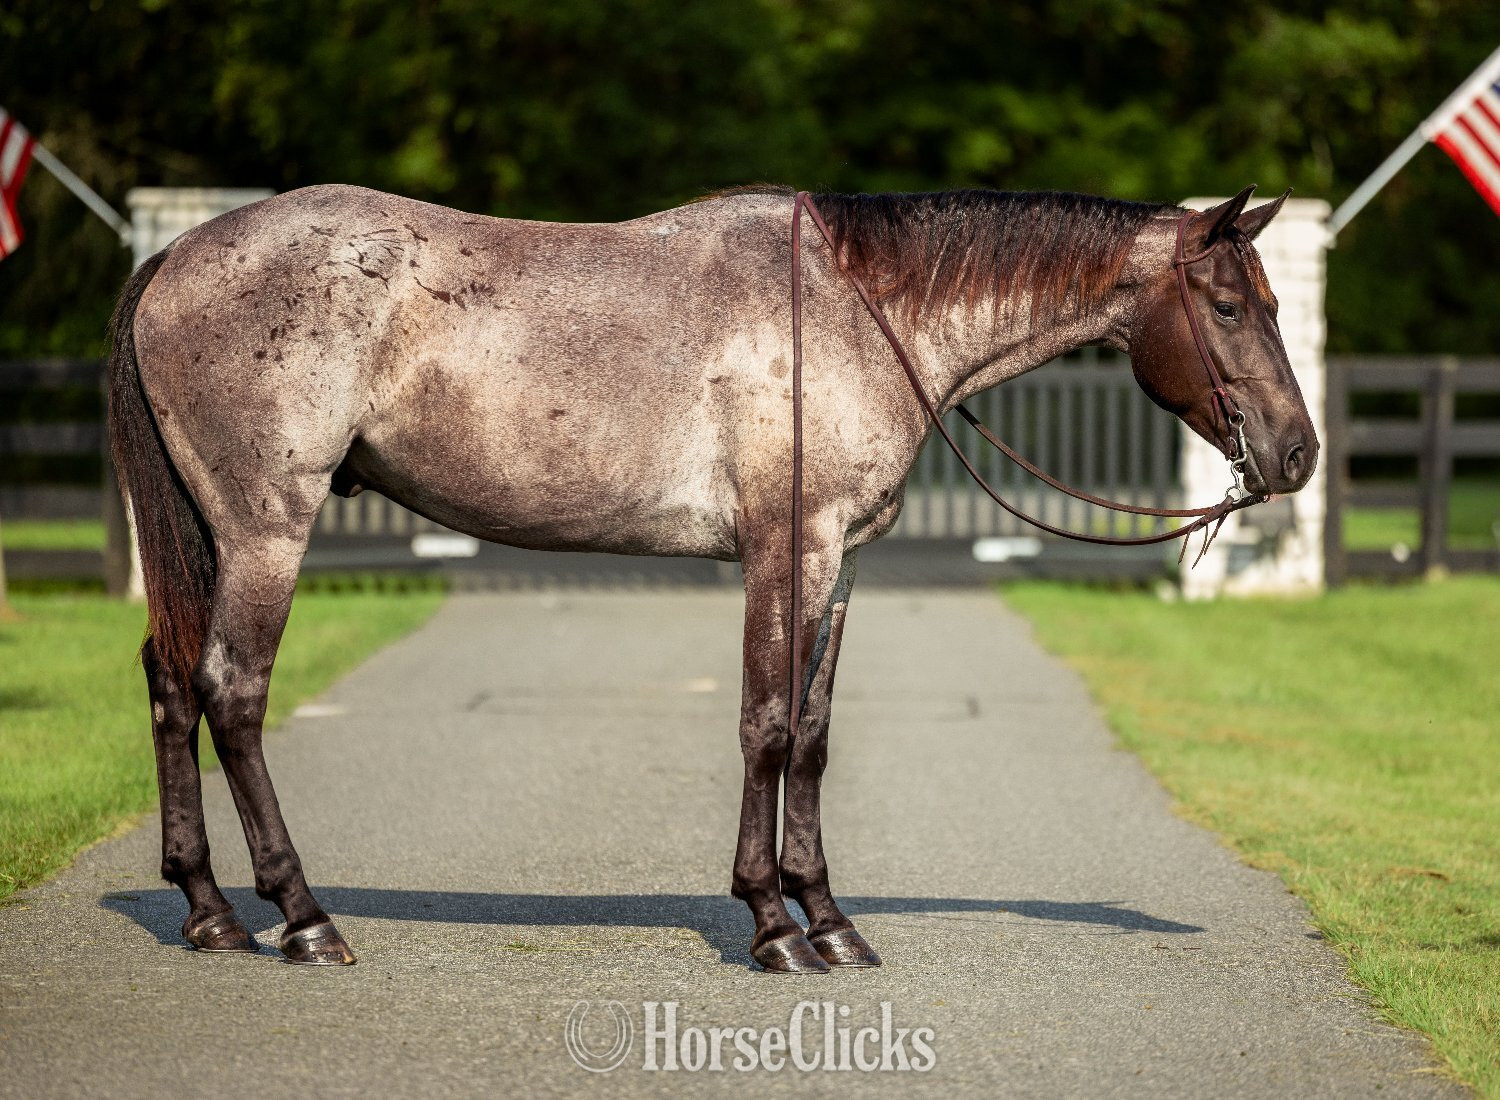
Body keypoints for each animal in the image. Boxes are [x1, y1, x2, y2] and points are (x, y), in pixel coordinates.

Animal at [107, 181, 1316, 972]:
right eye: (1227, 306)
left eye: (1268, 302)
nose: (1298, 454)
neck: (853, 309)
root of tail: (179, 256)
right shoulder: (787, 552)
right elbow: (766, 725)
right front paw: (774, 926)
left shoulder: (842, 562)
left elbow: (814, 735)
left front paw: (831, 919)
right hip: (267, 529)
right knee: (232, 694)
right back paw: (303, 916)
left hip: (212, 537)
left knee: (168, 683)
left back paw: (209, 909)